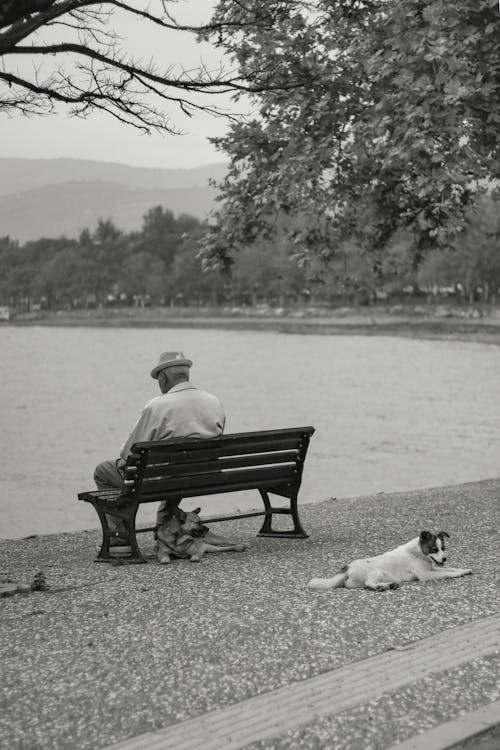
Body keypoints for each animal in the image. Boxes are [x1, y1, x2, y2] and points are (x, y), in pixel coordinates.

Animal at [306, 532, 470, 596]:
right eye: (434, 549)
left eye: (443, 548)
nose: (445, 558)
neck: (417, 552)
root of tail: (347, 569)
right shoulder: (426, 575)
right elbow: (447, 572)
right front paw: (458, 573)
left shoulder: (433, 567)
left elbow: (450, 568)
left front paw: (464, 569)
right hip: (377, 572)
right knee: (369, 584)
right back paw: (384, 586)